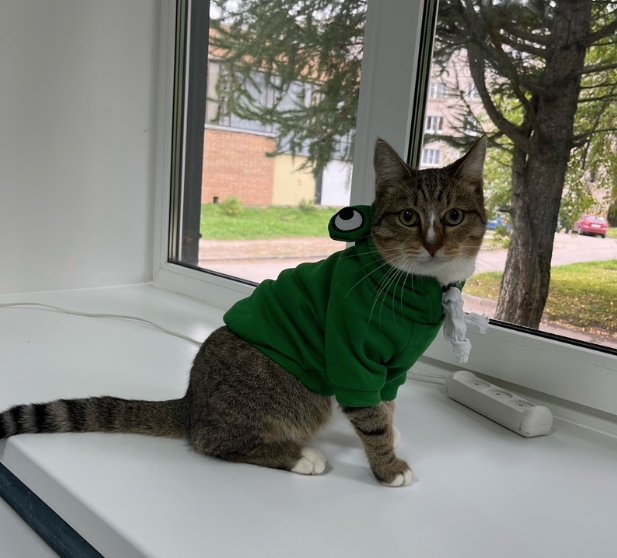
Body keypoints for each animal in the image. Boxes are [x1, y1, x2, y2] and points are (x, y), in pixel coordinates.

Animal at [0, 137, 487, 487]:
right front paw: (387, 465)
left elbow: (385, 403)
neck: (416, 285)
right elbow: (369, 417)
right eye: (408, 217)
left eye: (454, 216)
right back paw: (299, 456)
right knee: (213, 441)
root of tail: (191, 405)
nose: (432, 244)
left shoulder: (394, 365)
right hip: (284, 392)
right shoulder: (352, 354)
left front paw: (390, 428)